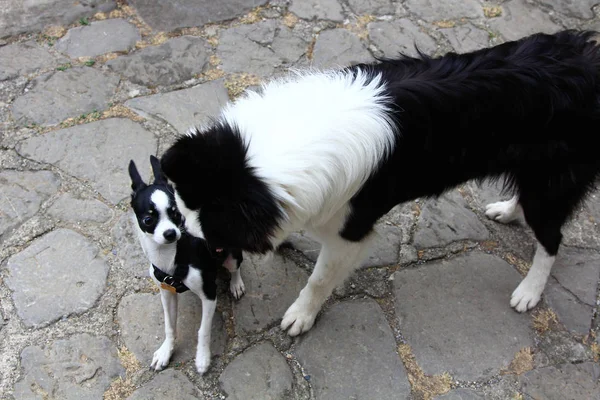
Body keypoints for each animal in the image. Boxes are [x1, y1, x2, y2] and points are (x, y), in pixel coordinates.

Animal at [162, 31, 600, 336]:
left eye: (214, 226)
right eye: (181, 209)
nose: (184, 250)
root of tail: (586, 55)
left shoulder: (351, 231)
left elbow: (319, 279)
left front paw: (301, 316)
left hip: (552, 184)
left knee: (552, 239)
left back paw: (529, 291)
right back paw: (508, 211)